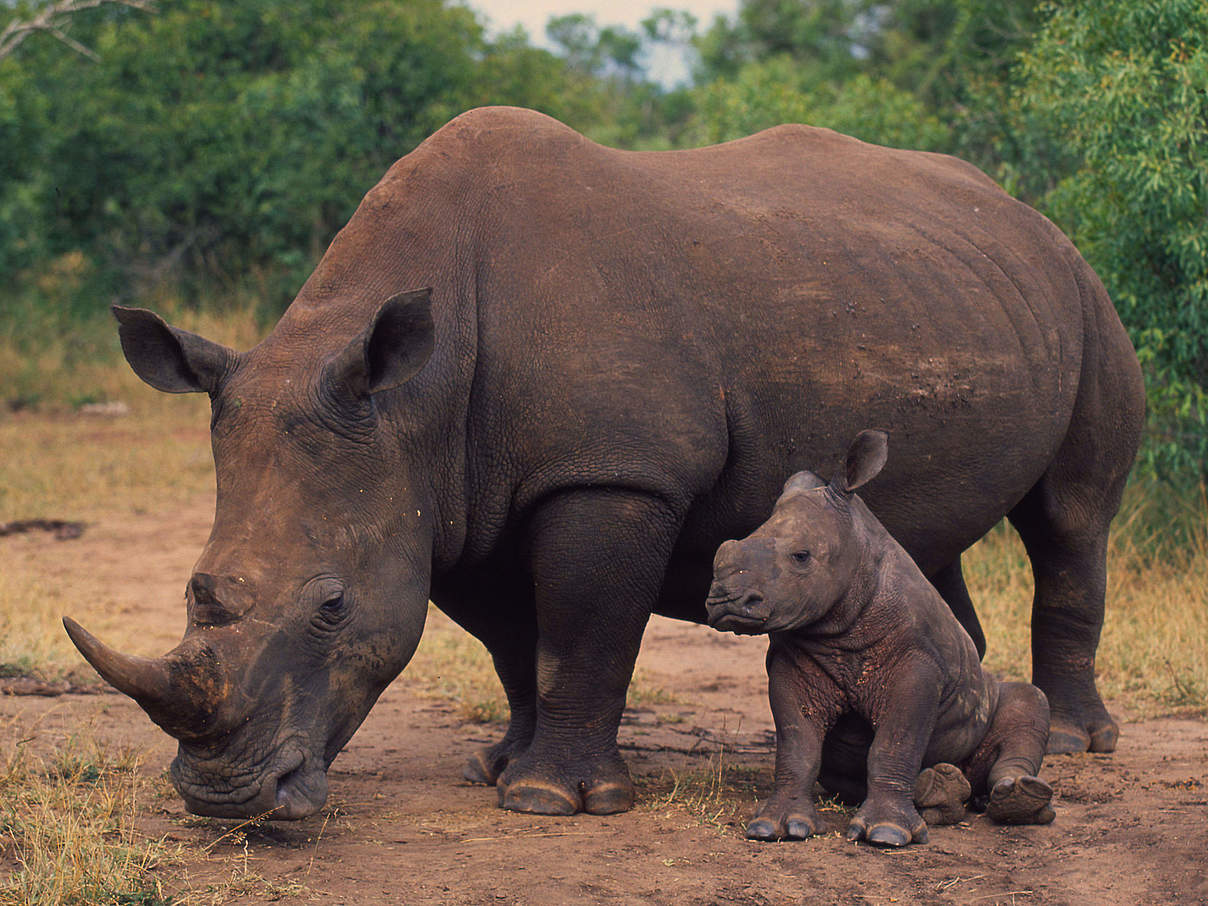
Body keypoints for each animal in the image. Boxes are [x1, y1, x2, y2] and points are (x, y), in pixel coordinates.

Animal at [705, 430, 1053, 850]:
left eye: (801, 556)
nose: (725, 601)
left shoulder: (917, 663)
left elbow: (896, 741)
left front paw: (887, 835)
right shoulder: (794, 661)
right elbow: (797, 742)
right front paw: (778, 828)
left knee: (1029, 700)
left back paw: (1018, 800)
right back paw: (944, 790)